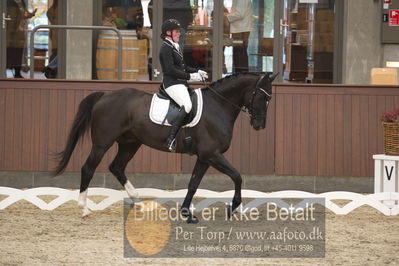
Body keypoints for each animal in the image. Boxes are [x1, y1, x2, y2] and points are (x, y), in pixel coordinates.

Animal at [54, 72, 278, 222]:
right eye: (262, 97)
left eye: (270, 99)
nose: (259, 125)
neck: (218, 106)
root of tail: (104, 96)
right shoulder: (212, 154)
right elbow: (237, 176)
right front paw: (234, 207)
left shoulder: (204, 157)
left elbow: (193, 184)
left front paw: (187, 213)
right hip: (102, 143)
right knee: (88, 168)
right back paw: (84, 209)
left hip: (130, 143)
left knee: (117, 167)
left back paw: (138, 202)